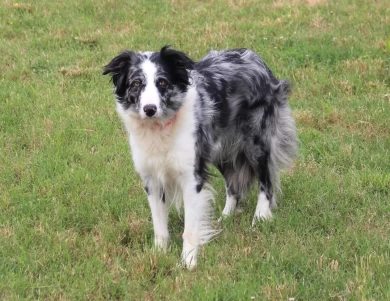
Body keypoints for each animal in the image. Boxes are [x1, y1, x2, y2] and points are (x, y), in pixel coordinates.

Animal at [102, 45, 298, 268]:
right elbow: (159, 226)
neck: (160, 129)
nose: (149, 109)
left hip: (255, 144)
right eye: (136, 83)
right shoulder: (152, 180)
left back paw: (260, 217)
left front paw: (188, 262)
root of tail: (256, 58)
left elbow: (189, 229)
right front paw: (159, 255)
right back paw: (225, 217)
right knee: (233, 184)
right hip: (221, 151)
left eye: (162, 82)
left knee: (266, 180)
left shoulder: (191, 177)